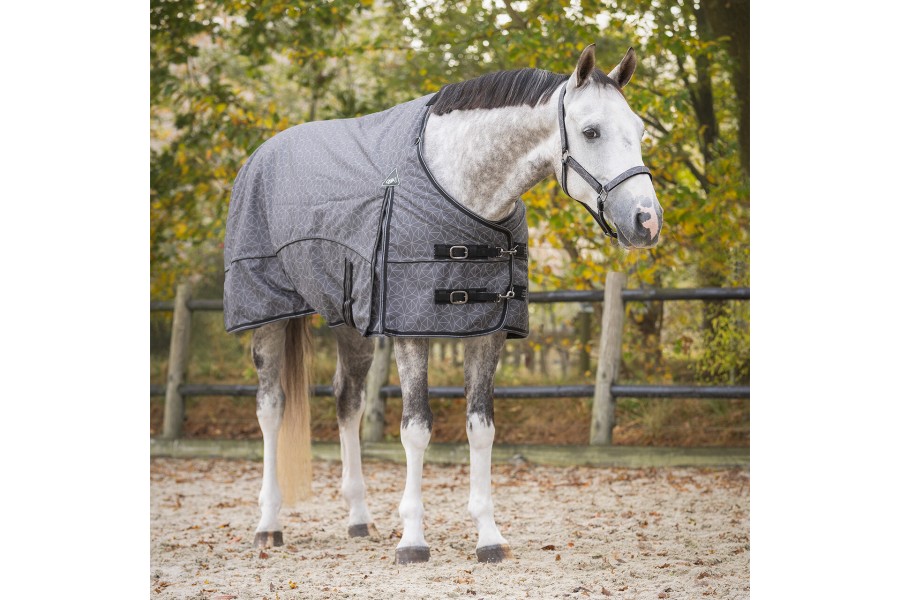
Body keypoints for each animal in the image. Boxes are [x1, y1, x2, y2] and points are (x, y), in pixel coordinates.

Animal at [223, 44, 662, 564]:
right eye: (591, 131)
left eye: (639, 129)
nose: (647, 221)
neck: (462, 188)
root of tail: (259, 156)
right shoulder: (412, 329)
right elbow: (416, 428)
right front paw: (413, 540)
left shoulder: (487, 331)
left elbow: (481, 428)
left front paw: (488, 536)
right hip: (267, 313)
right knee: (271, 407)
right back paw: (268, 525)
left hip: (352, 321)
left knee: (347, 401)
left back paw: (358, 518)